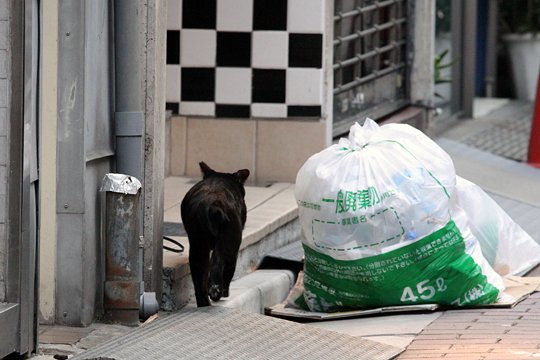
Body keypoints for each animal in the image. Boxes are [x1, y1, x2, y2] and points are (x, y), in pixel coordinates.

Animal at [180, 162, 250, 306]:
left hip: (198, 246)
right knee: (218, 263)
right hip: (229, 245)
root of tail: (212, 206)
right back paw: (217, 292)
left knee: (199, 280)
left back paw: (204, 303)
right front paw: (224, 292)